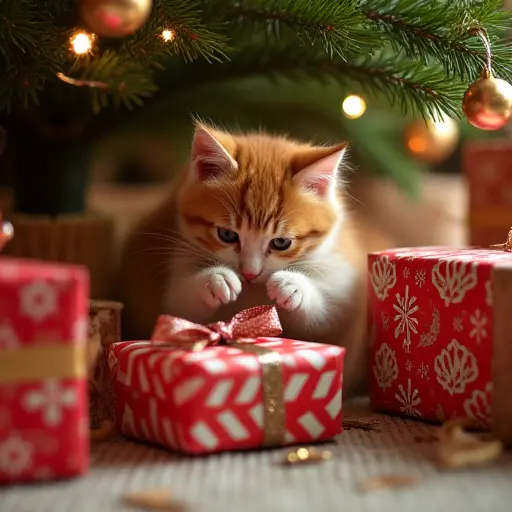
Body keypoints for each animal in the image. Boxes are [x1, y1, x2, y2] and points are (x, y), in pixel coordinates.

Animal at [120, 122, 392, 394]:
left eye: (281, 242)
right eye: (227, 234)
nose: (250, 273)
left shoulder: (340, 281)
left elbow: (323, 319)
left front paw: (293, 286)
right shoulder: (180, 258)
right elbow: (181, 309)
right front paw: (214, 280)